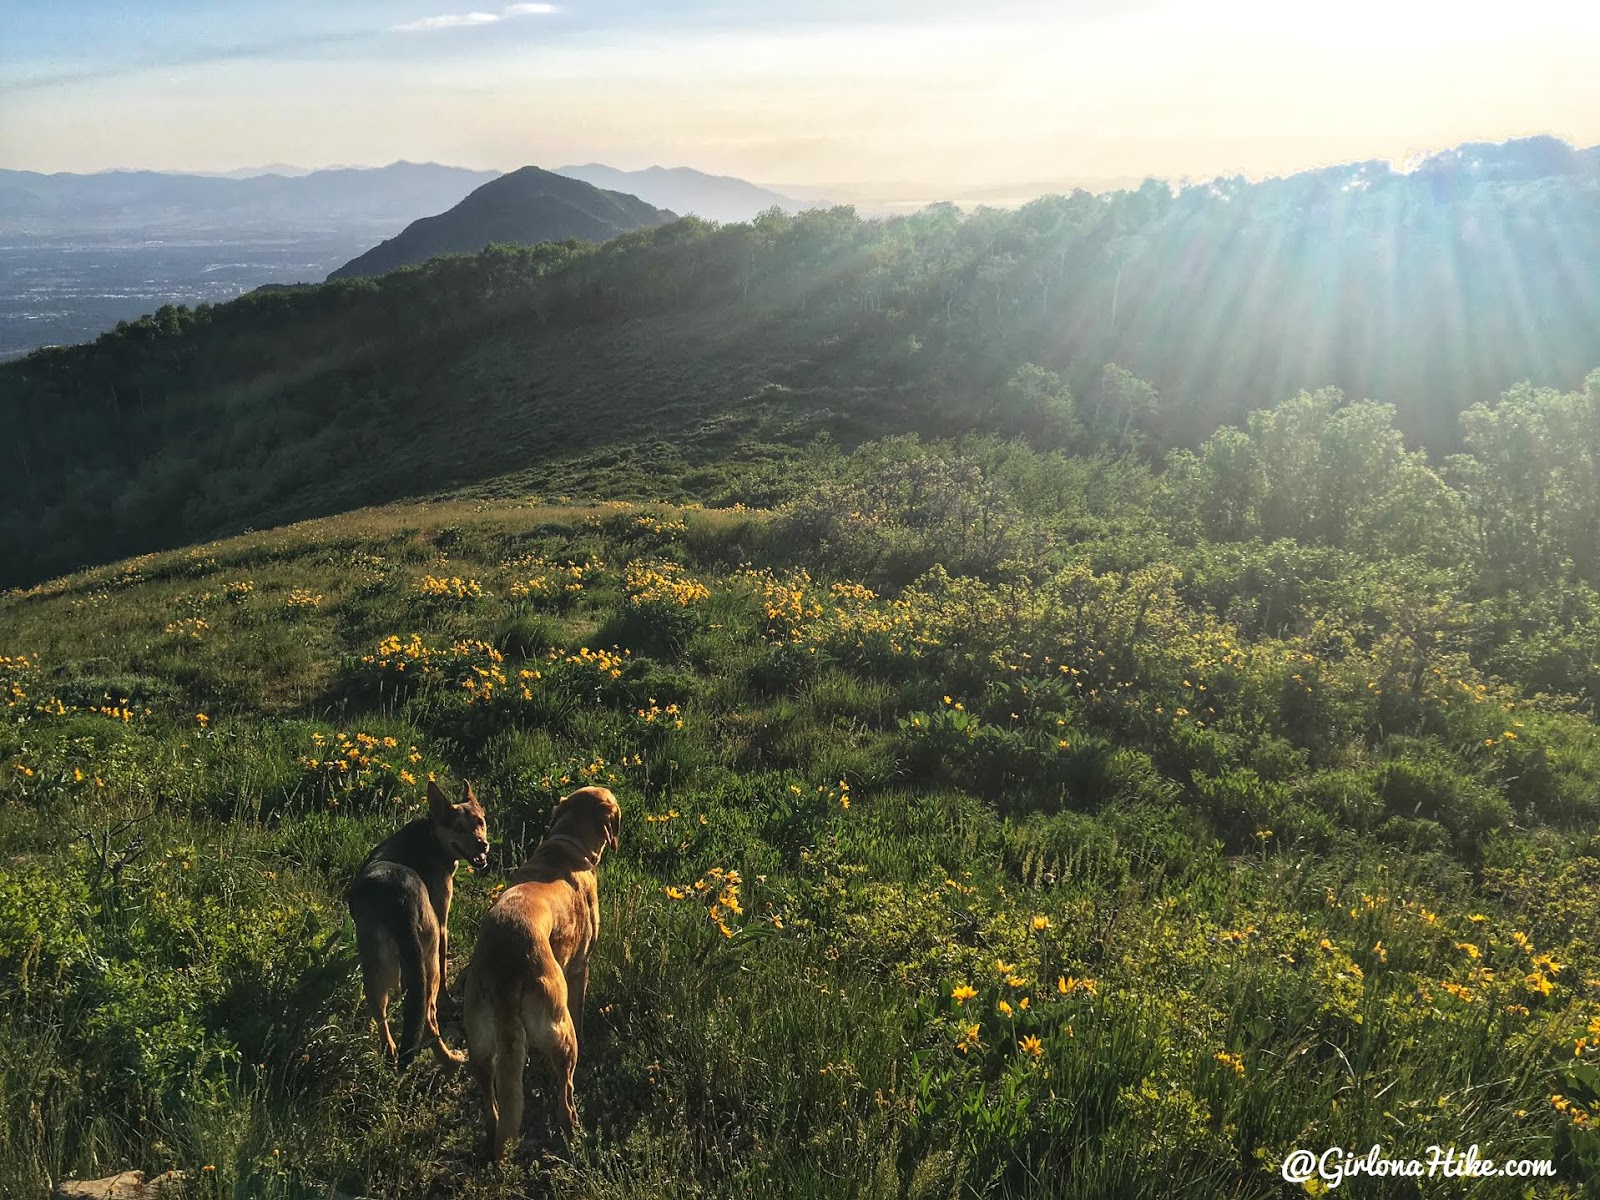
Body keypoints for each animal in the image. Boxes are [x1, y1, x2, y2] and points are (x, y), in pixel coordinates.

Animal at [342, 784, 480, 1068]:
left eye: (480, 823)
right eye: (459, 828)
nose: (483, 844)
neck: (432, 836)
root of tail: (398, 900)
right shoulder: (442, 925)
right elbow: (445, 975)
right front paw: (450, 1003)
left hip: (378, 966)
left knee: (380, 1009)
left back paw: (391, 1052)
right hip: (427, 965)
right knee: (428, 1018)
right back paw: (450, 1058)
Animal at [464, 784, 617, 1158]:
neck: (567, 845)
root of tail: (505, 961)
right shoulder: (579, 968)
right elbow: (580, 1008)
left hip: (479, 1044)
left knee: (492, 1103)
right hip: (560, 1032)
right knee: (565, 1094)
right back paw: (573, 1133)